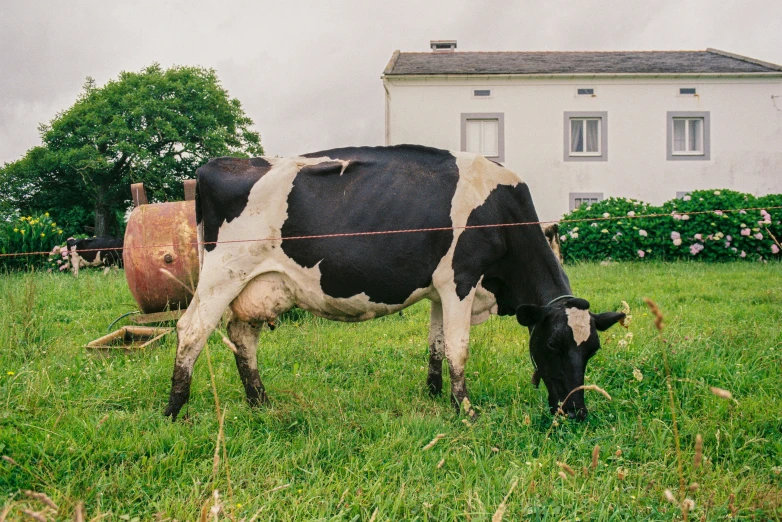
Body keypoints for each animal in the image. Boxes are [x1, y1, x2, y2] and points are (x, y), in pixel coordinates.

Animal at [164, 144, 624, 420]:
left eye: (592, 350)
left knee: (242, 336)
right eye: (552, 345)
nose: (577, 412)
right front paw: (466, 409)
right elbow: (459, 348)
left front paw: (435, 394)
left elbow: (437, 345)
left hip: (260, 286)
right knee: (191, 330)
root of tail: (217, 165)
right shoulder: (460, 280)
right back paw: (174, 410)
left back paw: (260, 403)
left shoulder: (440, 290)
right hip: (223, 273)